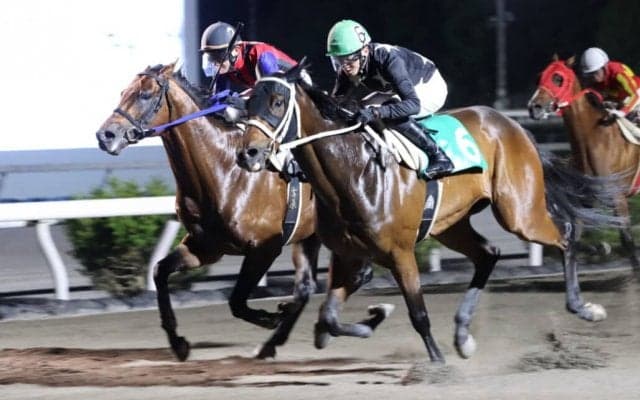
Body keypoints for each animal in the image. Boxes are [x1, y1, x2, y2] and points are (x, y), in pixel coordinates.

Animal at [95, 63, 321, 361]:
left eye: (145, 94)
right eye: (123, 92)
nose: (105, 135)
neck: (224, 171)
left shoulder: (265, 247)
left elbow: (237, 301)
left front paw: (273, 316)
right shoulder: (205, 247)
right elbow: (159, 271)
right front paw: (178, 342)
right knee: (307, 287)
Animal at [237, 62, 624, 363]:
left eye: (277, 101)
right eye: (248, 101)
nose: (248, 153)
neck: (354, 170)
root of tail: (514, 126)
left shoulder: (400, 252)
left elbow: (418, 314)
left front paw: (437, 362)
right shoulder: (348, 253)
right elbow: (328, 317)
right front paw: (371, 318)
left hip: (518, 212)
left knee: (566, 236)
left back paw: (583, 307)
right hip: (450, 225)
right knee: (489, 254)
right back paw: (463, 335)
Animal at [527, 56, 640, 268]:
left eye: (558, 78)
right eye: (538, 76)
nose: (534, 107)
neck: (596, 140)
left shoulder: (618, 198)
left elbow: (628, 242)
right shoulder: (582, 200)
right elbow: (573, 241)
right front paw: (600, 247)